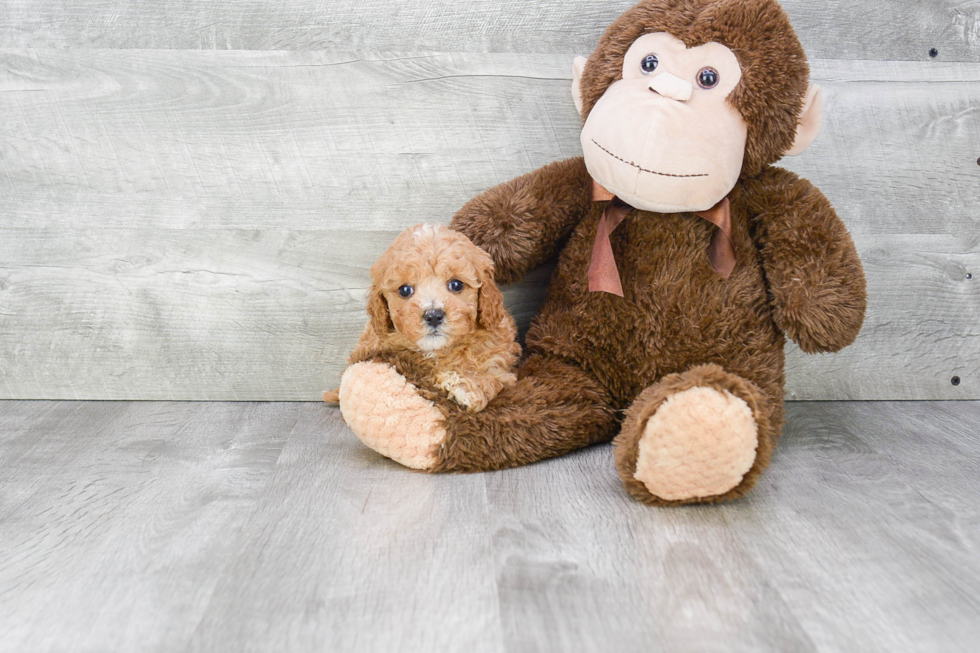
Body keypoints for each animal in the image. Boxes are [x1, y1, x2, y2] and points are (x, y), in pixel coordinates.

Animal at [322, 224, 520, 412]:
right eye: (405, 290)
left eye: (456, 284)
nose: (433, 316)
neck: (438, 352)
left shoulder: (500, 366)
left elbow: (493, 379)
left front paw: (464, 388)